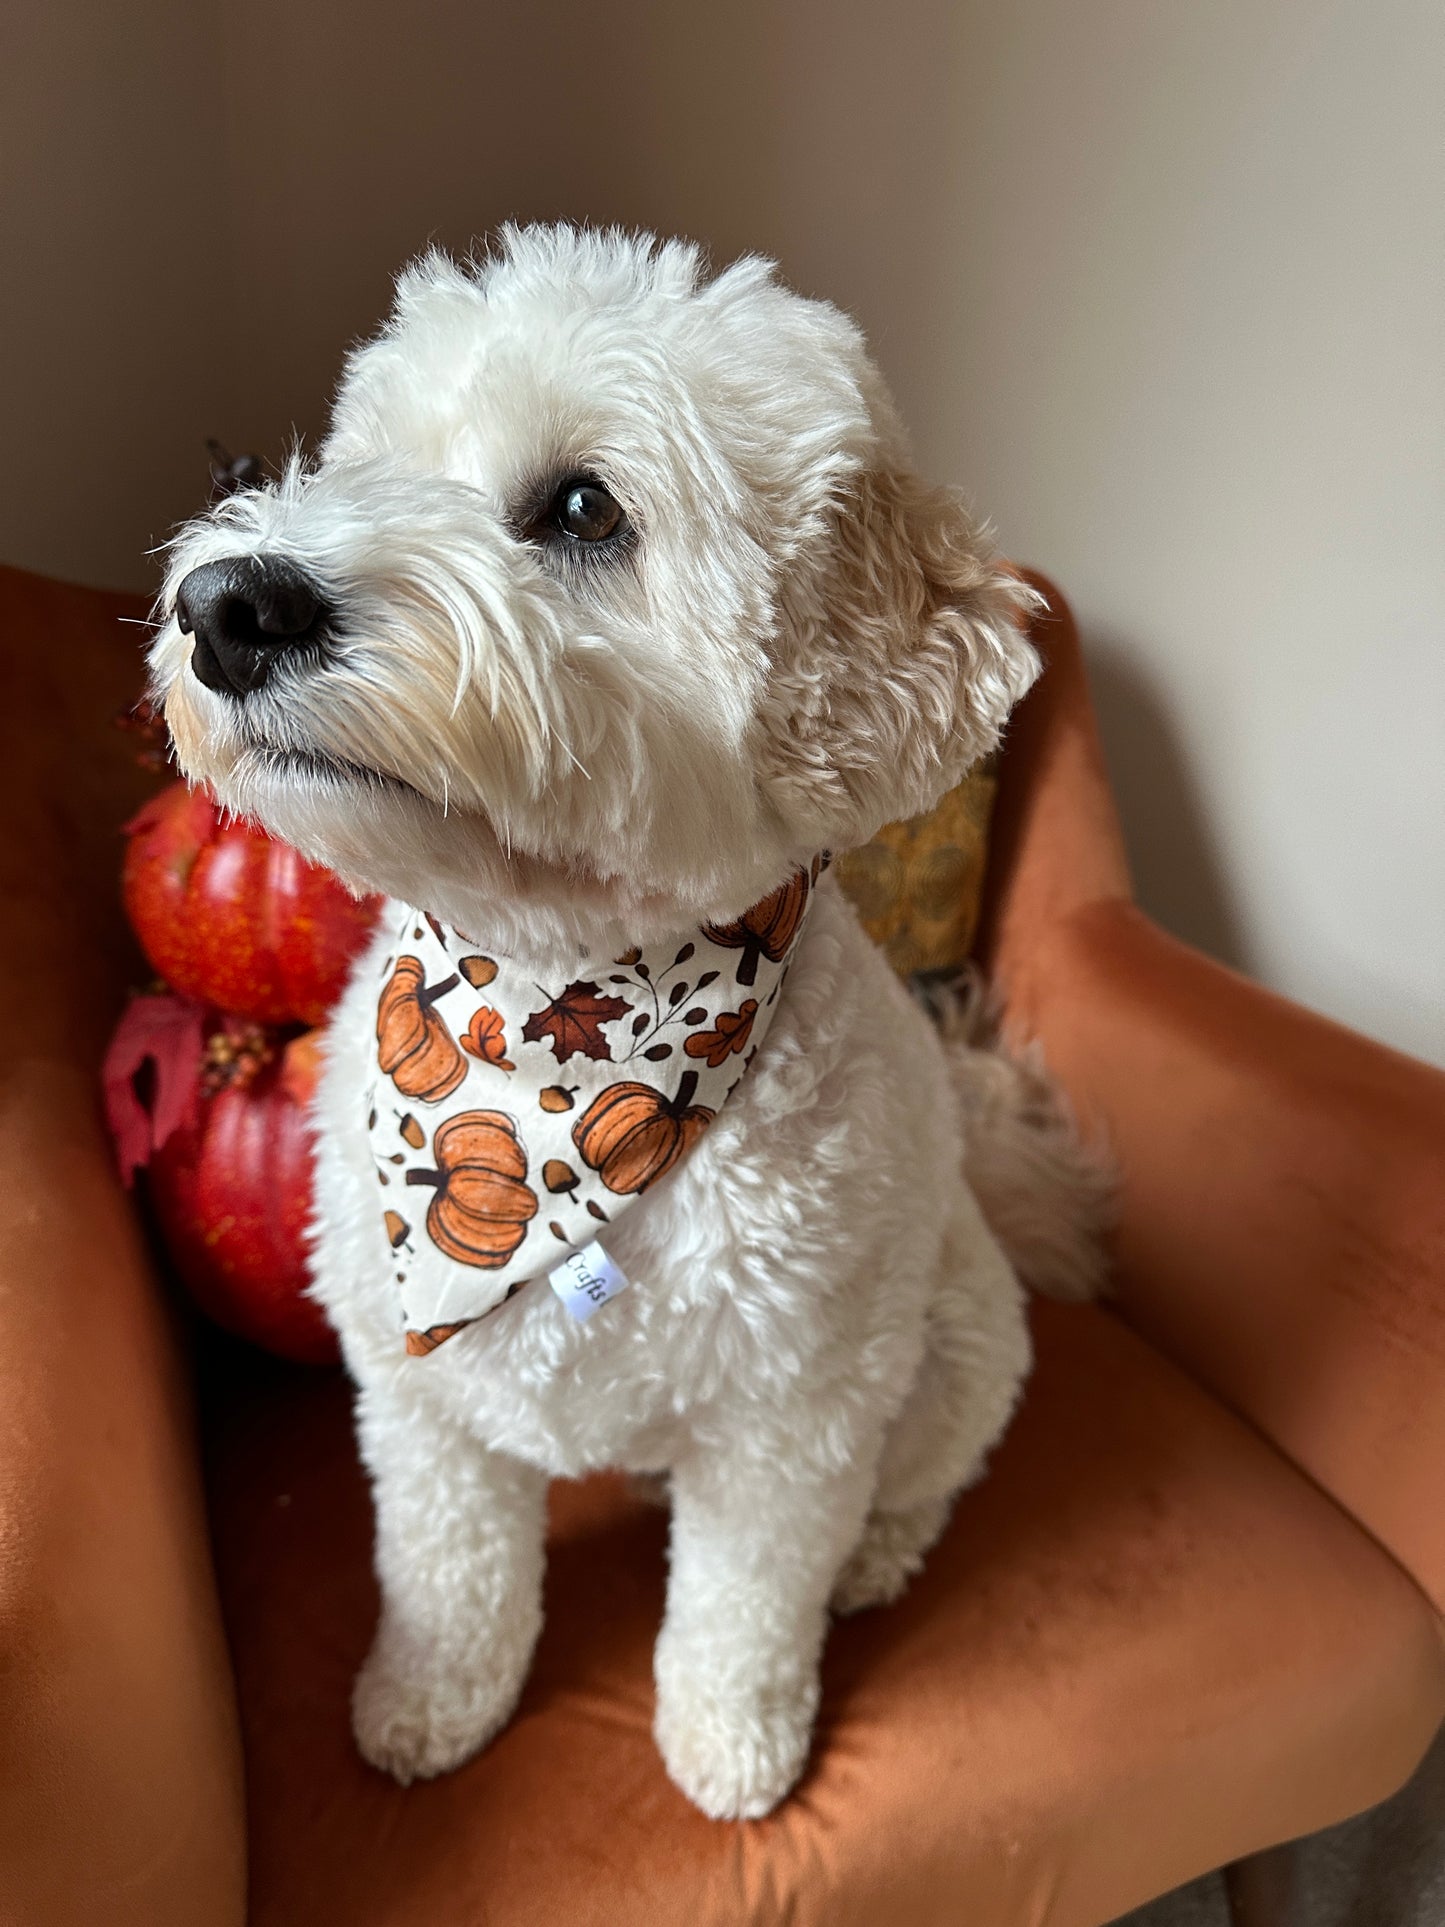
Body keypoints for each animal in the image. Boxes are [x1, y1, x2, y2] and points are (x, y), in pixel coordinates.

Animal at [150, 225, 1109, 1819]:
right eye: (357, 464)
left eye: (584, 509)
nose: (227, 603)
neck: (560, 1023)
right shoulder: (417, 1402)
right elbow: (450, 1573)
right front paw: (429, 1701)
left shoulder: (791, 1426)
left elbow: (744, 1605)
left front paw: (733, 1743)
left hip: (957, 1345)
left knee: (920, 1480)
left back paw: (875, 1560)